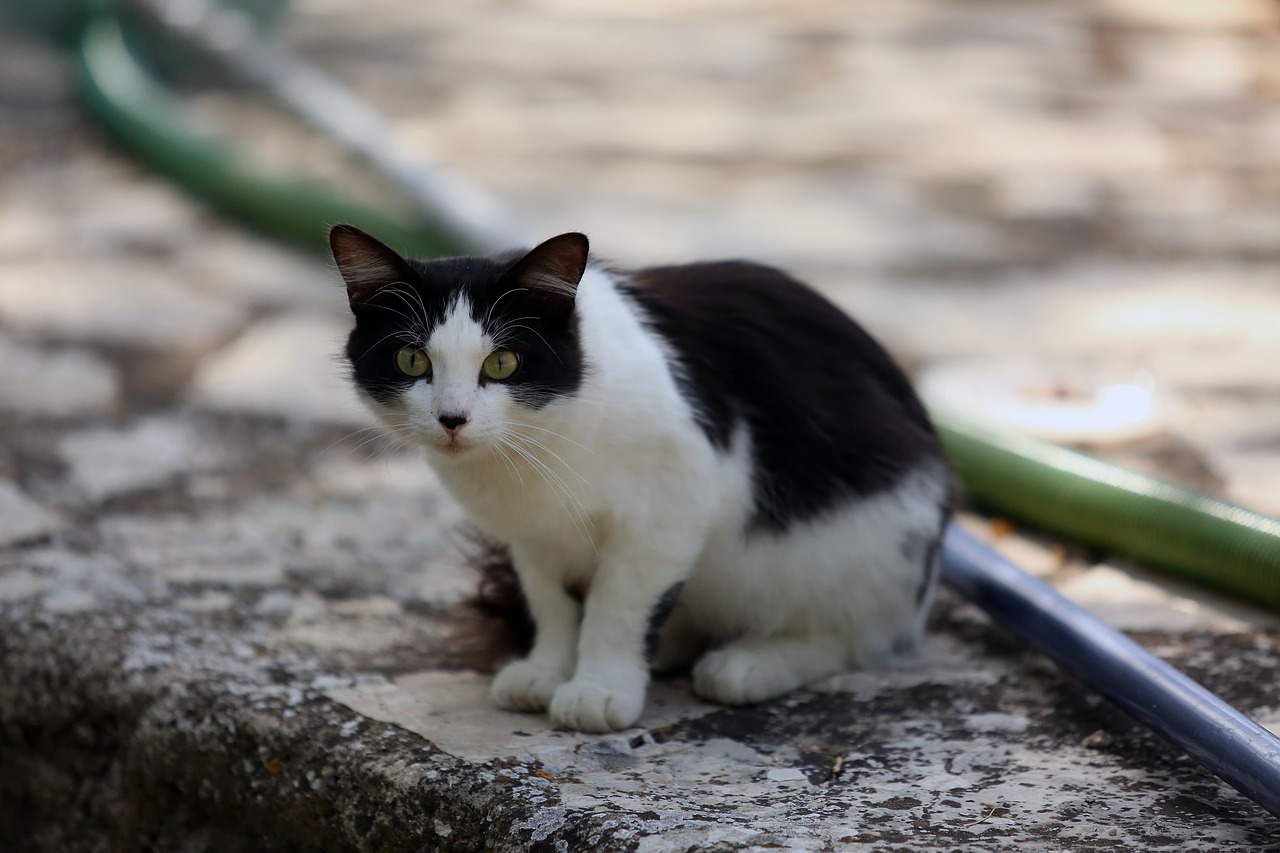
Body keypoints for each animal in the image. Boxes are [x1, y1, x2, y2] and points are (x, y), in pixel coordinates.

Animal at [330, 225, 952, 732]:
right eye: (412, 360)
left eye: (502, 363)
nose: (452, 419)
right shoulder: (532, 537)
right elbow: (551, 602)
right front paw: (548, 668)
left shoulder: (673, 502)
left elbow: (618, 602)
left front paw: (598, 688)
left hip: (876, 540)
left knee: (858, 638)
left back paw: (750, 662)